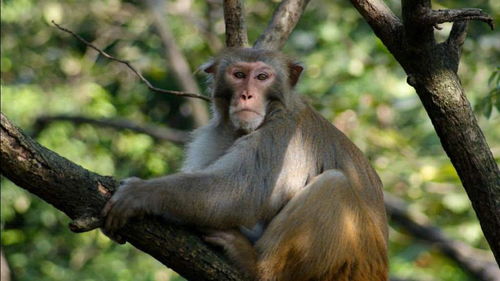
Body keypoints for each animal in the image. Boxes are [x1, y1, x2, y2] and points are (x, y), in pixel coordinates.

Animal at [101, 48, 388, 280]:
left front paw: (141, 194)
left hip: (348, 267)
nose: (247, 95)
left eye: (262, 77)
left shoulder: (284, 136)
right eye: (238, 74)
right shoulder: (215, 135)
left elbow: (241, 193)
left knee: (334, 184)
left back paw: (258, 267)